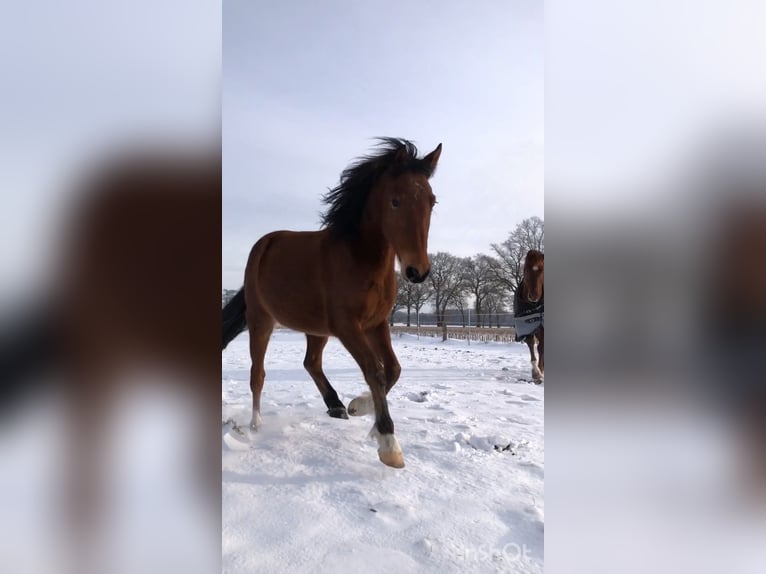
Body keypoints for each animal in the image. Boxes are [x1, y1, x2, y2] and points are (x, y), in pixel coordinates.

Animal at [222, 138, 442, 469]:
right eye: (395, 201)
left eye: (432, 201)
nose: (418, 272)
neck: (360, 259)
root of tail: (263, 245)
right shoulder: (348, 326)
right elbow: (375, 371)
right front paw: (388, 443)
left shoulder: (376, 324)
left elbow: (393, 369)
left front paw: (359, 408)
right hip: (262, 322)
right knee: (257, 374)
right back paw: (255, 425)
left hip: (316, 329)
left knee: (311, 362)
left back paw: (336, 406)